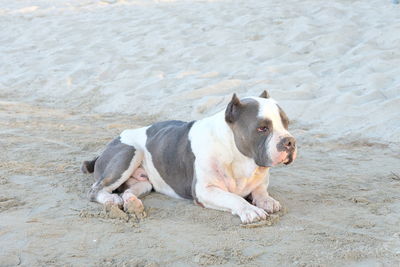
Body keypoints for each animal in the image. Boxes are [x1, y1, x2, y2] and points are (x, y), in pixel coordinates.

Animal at [81, 91, 296, 224]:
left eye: (286, 123)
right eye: (262, 128)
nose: (290, 141)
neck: (239, 158)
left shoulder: (258, 181)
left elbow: (260, 191)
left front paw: (267, 201)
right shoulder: (204, 191)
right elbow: (233, 198)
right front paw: (249, 209)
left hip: (144, 183)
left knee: (128, 191)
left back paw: (132, 203)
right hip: (129, 153)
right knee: (95, 190)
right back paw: (111, 200)